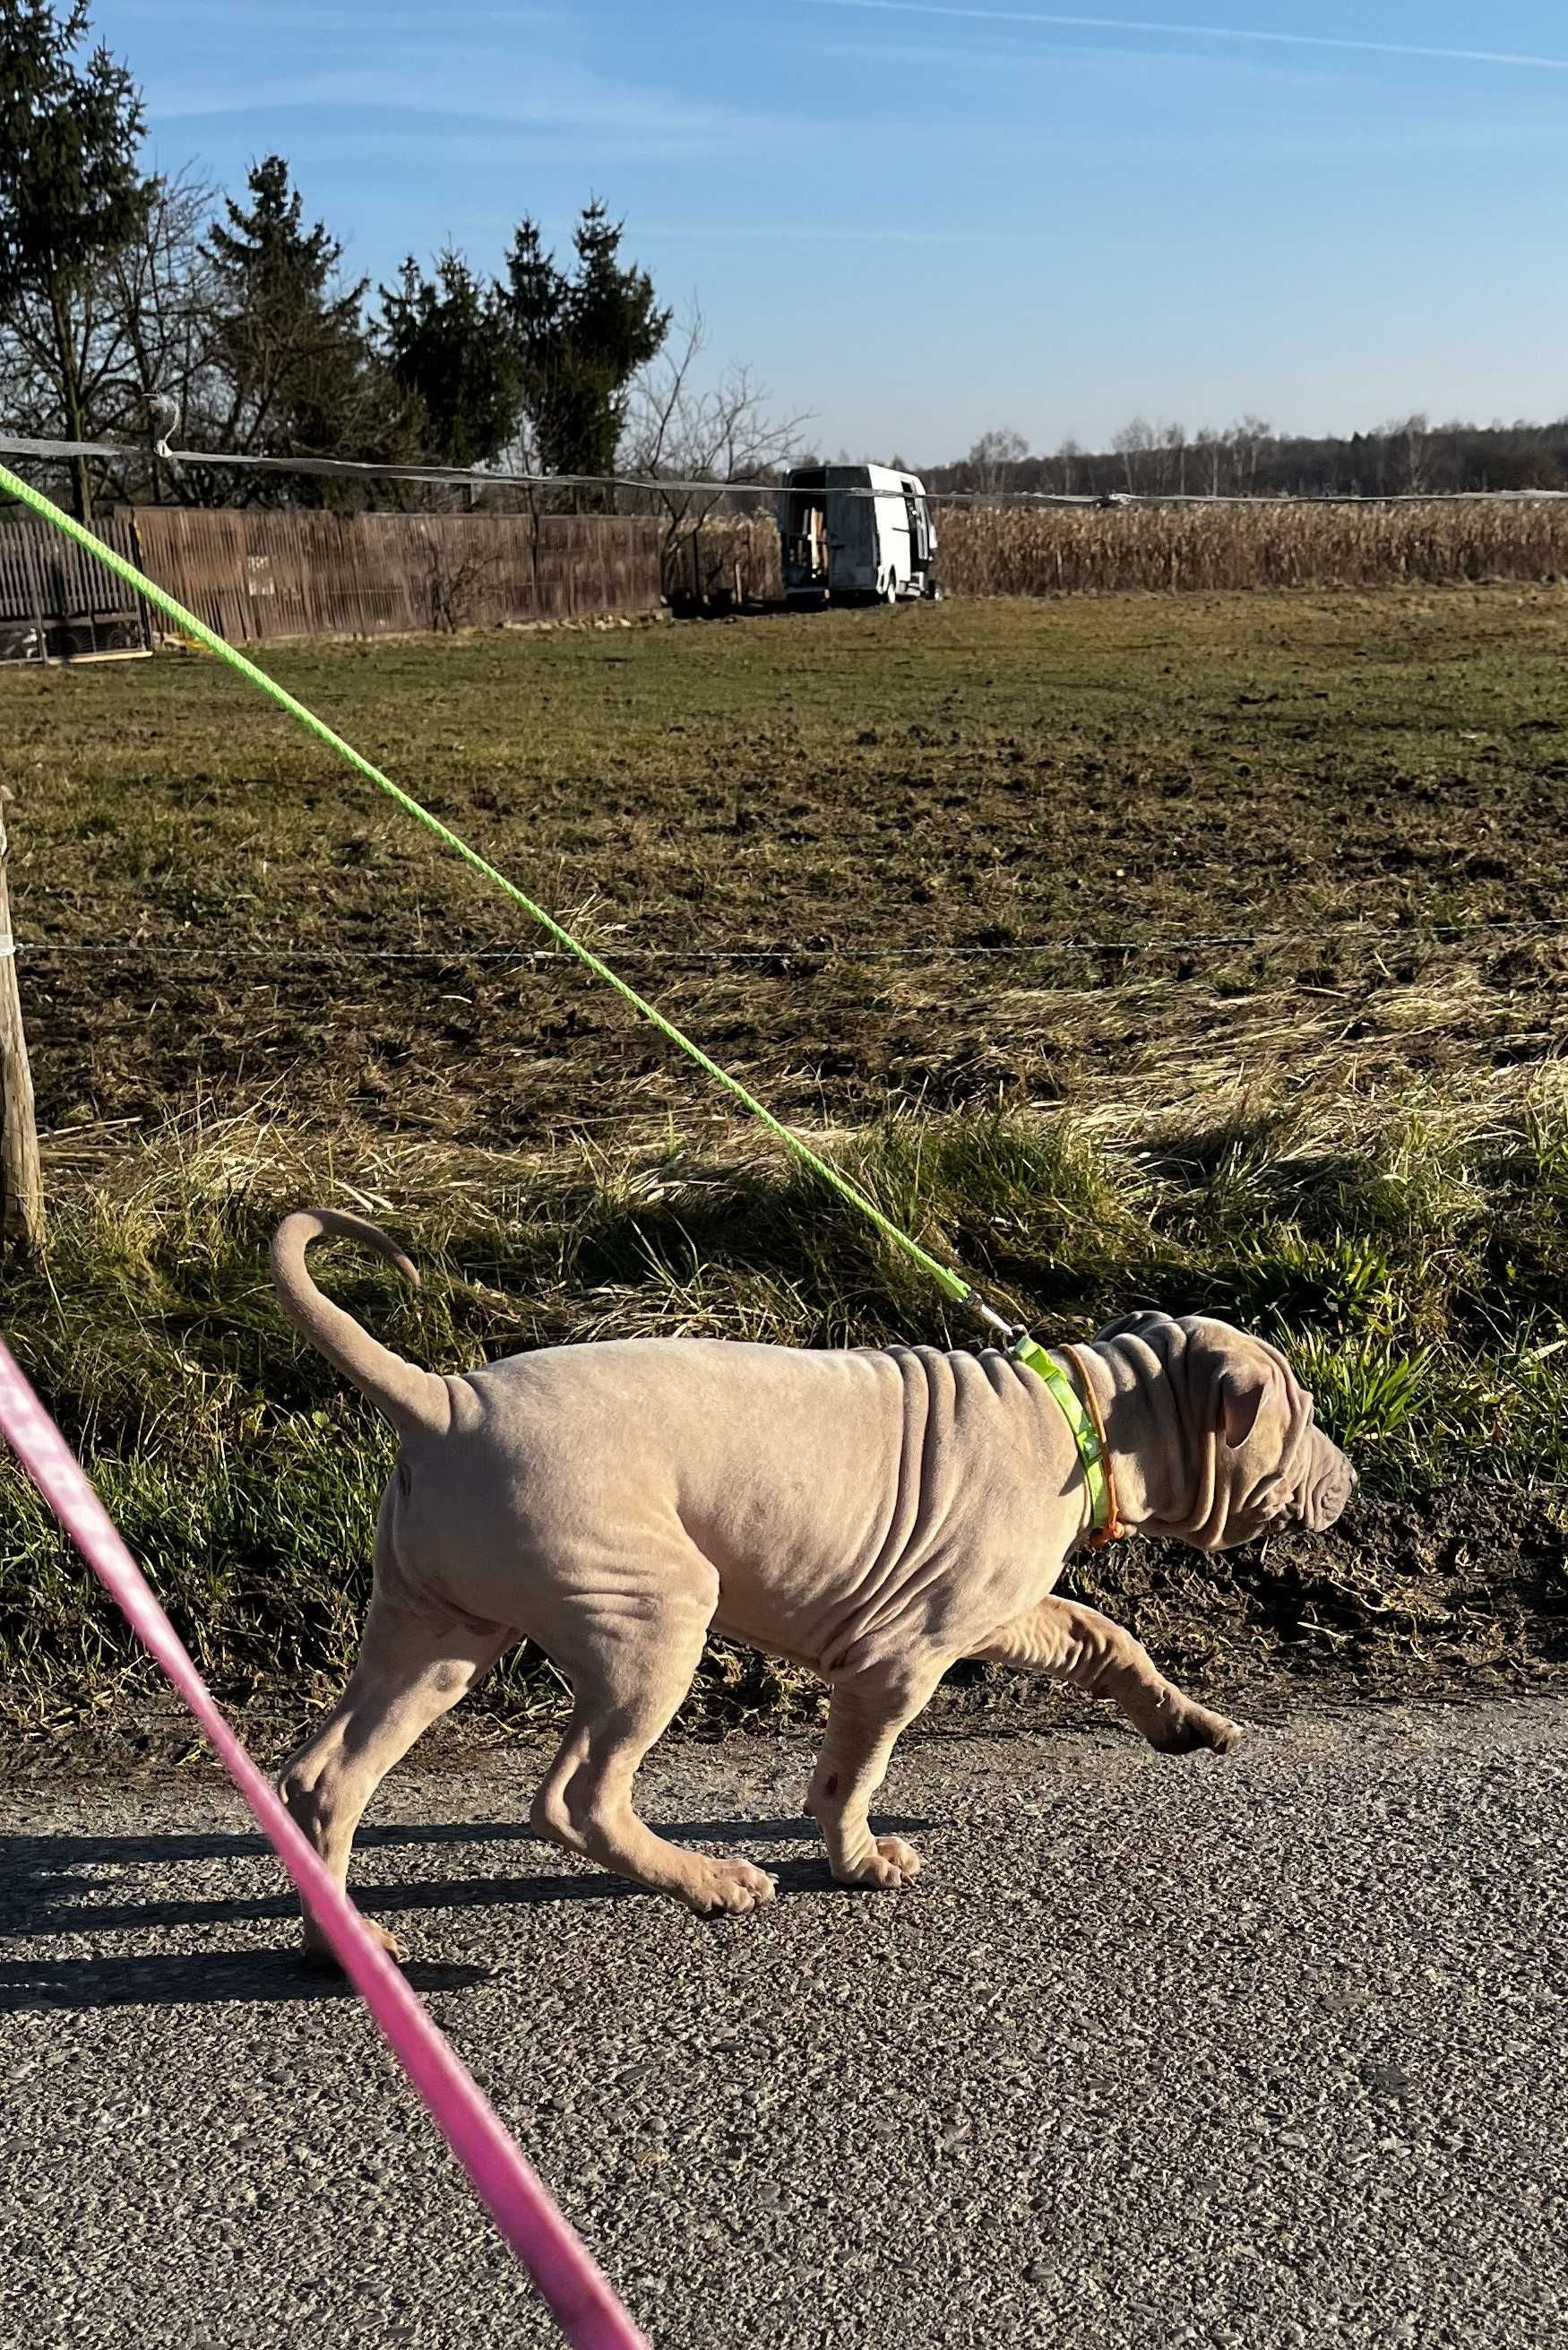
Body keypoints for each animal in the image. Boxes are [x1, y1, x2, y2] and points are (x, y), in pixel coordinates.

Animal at [272, 1203, 1363, 1955]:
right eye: (1304, 1415)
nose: (1352, 1476)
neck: (1088, 1414)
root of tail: (441, 1401)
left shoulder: (986, 1612)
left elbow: (1105, 1635)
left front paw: (1188, 1722)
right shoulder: (901, 1658)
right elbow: (853, 1772)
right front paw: (861, 1861)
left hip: (435, 1627)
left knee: (325, 1778)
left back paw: (350, 1947)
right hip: (650, 1612)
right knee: (575, 1798)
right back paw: (711, 1882)